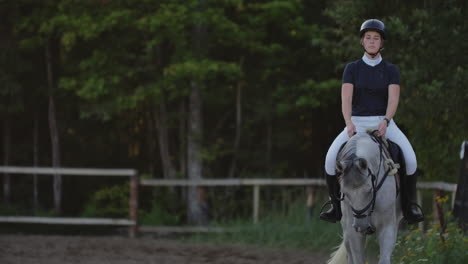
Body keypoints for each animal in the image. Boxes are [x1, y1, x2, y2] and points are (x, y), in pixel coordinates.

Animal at [330, 131, 402, 264]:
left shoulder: (387, 227)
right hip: (347, 231)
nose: (361, 226)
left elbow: (384, 259)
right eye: (345, 193)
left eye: (369, 190)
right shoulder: (353, 233)